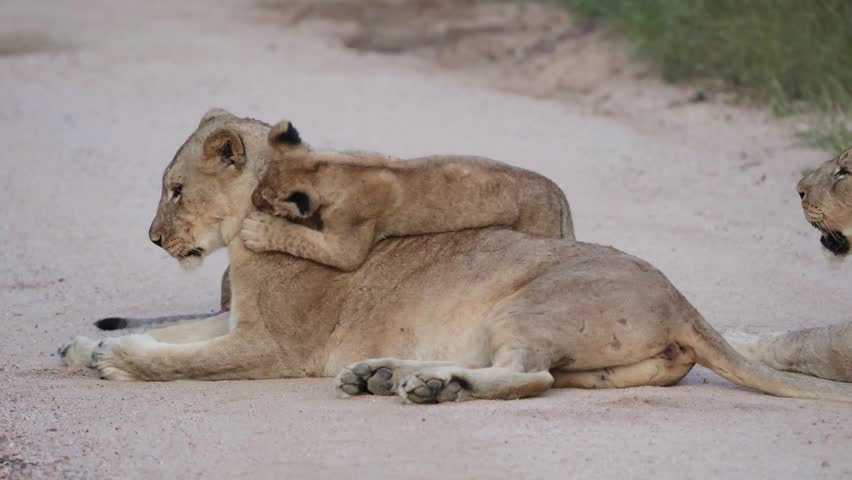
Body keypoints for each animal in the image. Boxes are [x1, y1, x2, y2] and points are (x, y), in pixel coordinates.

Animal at [240, 120, 572, 271]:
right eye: (259, 181)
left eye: (266, 201)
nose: (253, 200)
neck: (332, 169)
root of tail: (557, 192)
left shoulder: (347, 246)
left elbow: (302, 239)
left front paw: (257, 230)